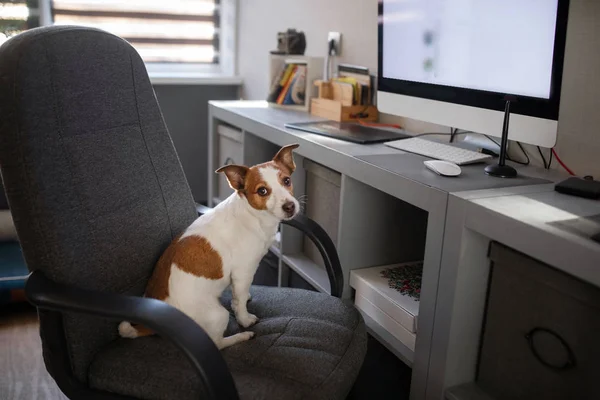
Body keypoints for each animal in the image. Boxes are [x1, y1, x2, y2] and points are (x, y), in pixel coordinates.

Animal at [118, 143, 300, 346]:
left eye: (286, 181)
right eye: (262, 191)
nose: (290, 206)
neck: (252, 215)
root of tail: (150, 325)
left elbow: (239, 295)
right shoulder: (243, 272)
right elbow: (239, 302)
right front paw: (245, 319)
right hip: (218, 314)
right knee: (217, 343)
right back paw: (240, 336)